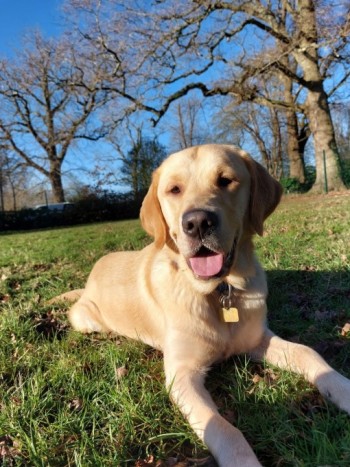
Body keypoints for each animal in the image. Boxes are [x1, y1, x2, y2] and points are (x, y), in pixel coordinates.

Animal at [59, 144, 350, 466]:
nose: (198, 222)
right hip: (86, 319)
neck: (219, 291)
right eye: (174, 189)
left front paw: (343, 390)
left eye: (225, 180)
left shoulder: (257, 339)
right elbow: (223, 428)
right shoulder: (182, 374)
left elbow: (308, 353)